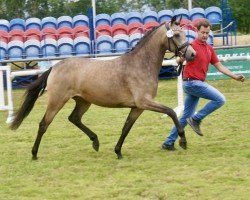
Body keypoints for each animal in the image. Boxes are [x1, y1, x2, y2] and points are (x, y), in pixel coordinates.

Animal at [9, 16, 196, 159]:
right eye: (177, 35)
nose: (192, 54)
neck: (140, 65)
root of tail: (55, 67)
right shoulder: (144, 102)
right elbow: (171, 112)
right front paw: (183, 140)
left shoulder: (137, 107)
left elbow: (126, 127)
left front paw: (118, 151)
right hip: (57, 101)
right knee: (44, 124)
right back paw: (34, 154)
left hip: (83, 101)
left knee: (74, 118)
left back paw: (95, 141)